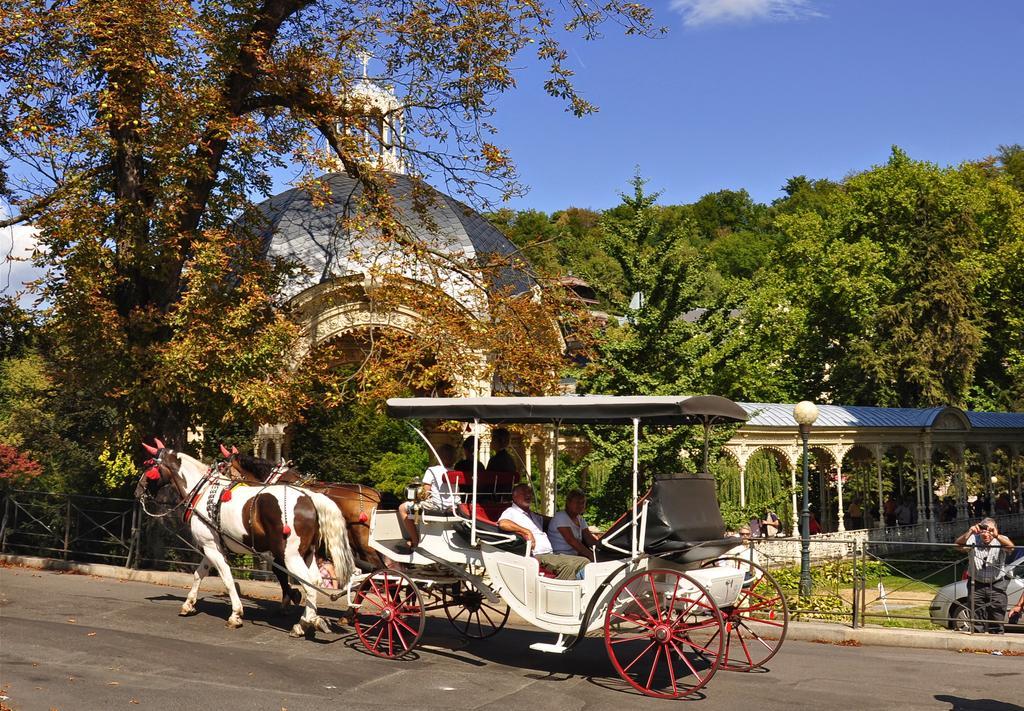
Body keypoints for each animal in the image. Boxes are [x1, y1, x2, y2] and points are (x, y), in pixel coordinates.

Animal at [136, 442, 354, 639]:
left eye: (150, 465)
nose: (138, 489)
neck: (204, 492)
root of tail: (309, 498)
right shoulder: (211, 546)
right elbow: (199, 574)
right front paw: (188, 604)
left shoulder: (212, 547)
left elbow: (227, 578)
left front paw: (236, 614)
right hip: (307, 554)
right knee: (315, 581)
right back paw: (310, 620)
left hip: (290, 556)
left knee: (309, 585)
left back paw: (302, 624)